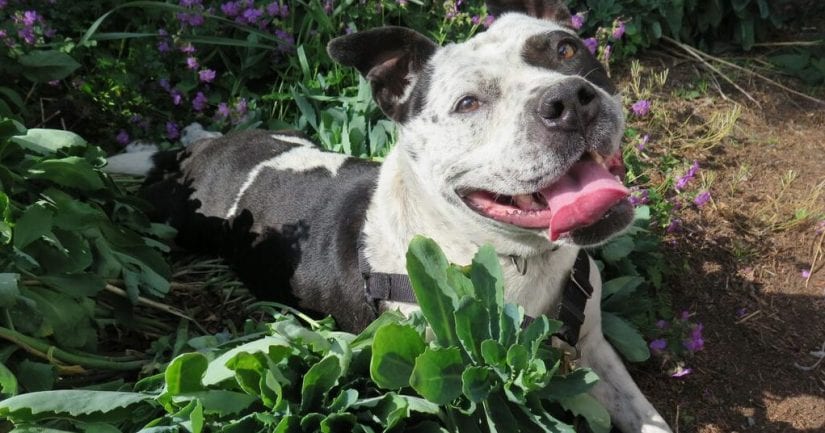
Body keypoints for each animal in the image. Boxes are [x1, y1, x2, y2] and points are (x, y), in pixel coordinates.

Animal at [104, 1, 668, 430]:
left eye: (567, 50)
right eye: (467, 103)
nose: (568, 98)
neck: (516, 259)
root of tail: (201, 156)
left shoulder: (594, 347)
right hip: (176, 217)